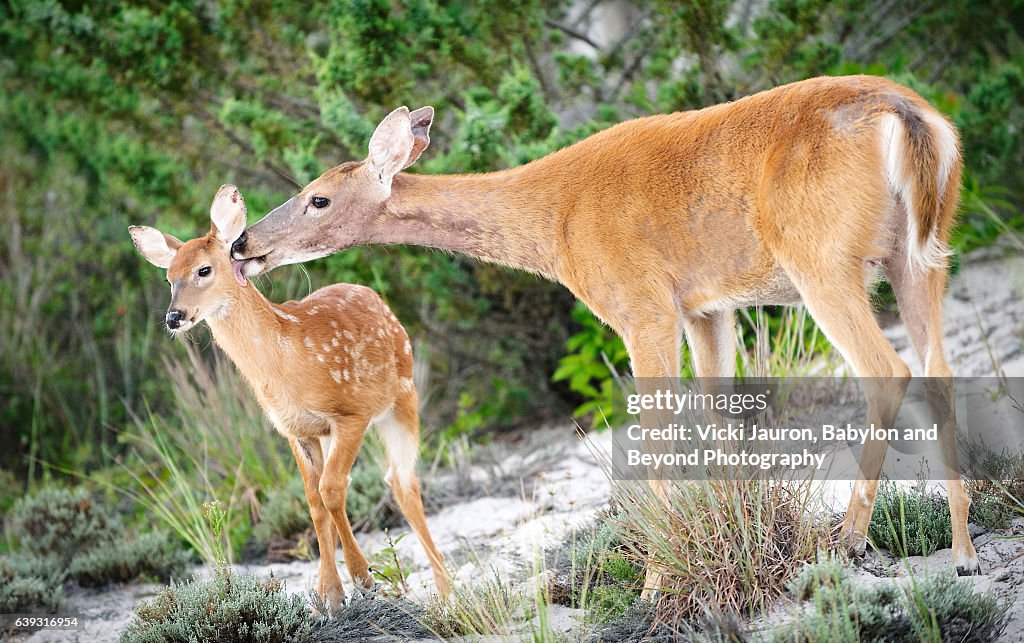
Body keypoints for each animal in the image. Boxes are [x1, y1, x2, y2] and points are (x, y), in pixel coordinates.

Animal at [130, 184, 450, 606]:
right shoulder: (296, 430)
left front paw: (363, 577)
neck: (287, 363)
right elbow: (313, 499)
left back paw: (446, 589)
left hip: (403, 397)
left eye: (203, 270)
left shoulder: (351, 413)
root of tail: (375, 297)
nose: (174, 317)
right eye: (168, 278)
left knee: (403, 481)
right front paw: (328, 593)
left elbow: (331, 490)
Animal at [234, 74, 983, 589]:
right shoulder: (705, 304)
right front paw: (742, 532)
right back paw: (964, 553)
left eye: (318, 198)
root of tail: (908, 116)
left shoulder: (642, 303)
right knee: (942, 374)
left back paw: (851, 539)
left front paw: (657, 578)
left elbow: (658, 436)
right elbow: (721, 414)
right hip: (925, 252)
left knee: (888, 370)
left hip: (822, 257)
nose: (243, 243)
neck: (554, 221)